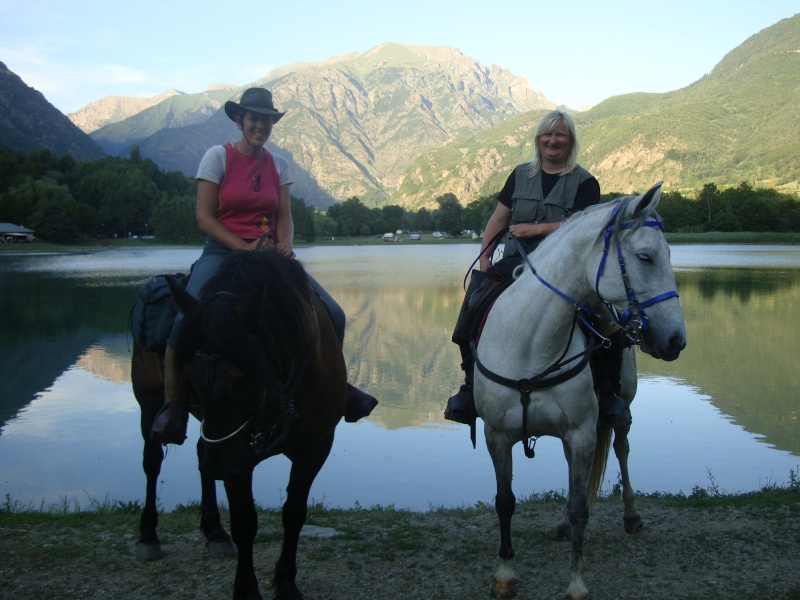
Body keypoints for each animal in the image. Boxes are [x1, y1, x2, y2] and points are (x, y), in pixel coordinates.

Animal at [130, 250, 346, 600]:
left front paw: (286, 583)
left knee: (200, 458)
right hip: (150, 405)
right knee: (153, 463)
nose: (221, 465)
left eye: (244, 378)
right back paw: (149, 536)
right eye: (187, 372)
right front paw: (246, 589)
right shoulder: (238, 456)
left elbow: (294, 513)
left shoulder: (314, 447)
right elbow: (245, 522)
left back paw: (215, 531)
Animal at [472, 180, 684, 596]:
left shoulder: (582, 432)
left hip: (621, 407)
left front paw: (576, 584)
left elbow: (580, 506)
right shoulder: (497, 434)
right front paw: (504, 574)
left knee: (621, 448)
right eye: (646, 257)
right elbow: (505, 501)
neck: (532, 344)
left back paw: (631, 515)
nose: (675, 339)